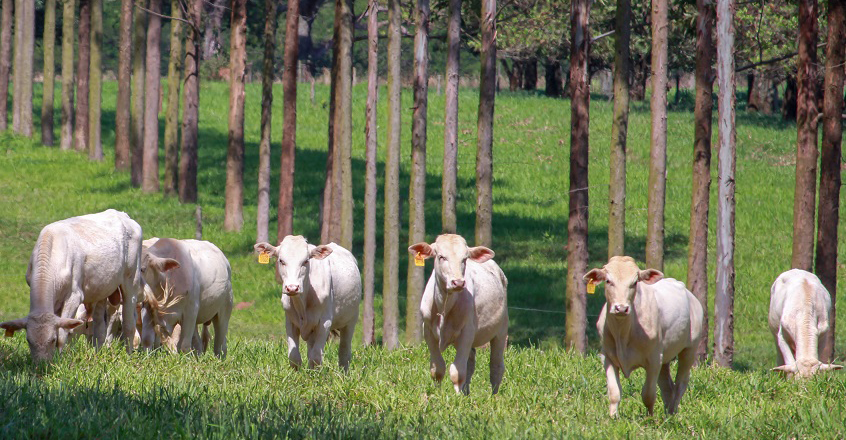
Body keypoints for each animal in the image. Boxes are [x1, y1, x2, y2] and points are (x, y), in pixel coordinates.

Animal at [0, 211, 142, 362]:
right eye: (28, 341)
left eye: (52, 340)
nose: (41, 364)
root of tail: (121, 214)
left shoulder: (74, 297)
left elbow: (63, 333)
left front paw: (59, 359)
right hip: (101, 290)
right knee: (100, 328)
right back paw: (97, 355)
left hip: (131, 281)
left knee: (129, 323)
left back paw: (128, 355)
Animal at [255, 235, 362, 370]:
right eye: (281, 260)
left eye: (305, 261)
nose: (292, 288)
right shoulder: (290, 321)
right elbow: (294, 357)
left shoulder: (325, 322)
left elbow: (316, 358)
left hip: (351, 320)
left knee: (344, 352)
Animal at [410, 234, 510, 396]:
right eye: (441, 256)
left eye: (464, 258)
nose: (458, 282)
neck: (444, 307)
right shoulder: (428, 331)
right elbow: (437, 368)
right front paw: (438, 394)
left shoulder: (467, 332)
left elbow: (457, 372)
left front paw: (457, 398)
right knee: (471, 362)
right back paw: (466, 393)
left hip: (501, 331)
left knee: (496, 366)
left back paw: (493, 396)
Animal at [588, 256, 704, 418]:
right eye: (608, 281)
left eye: (634, 282)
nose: (621, 308)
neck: (623, 333)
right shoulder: (607, 357)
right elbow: (614, 392)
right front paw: (613, 418)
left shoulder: (654, 359)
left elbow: (648, 394)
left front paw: (649, 417)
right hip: (665, 357)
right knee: (667, 386)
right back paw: (667, 414)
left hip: (689, 350)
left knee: (680, 383)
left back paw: (672, 412)